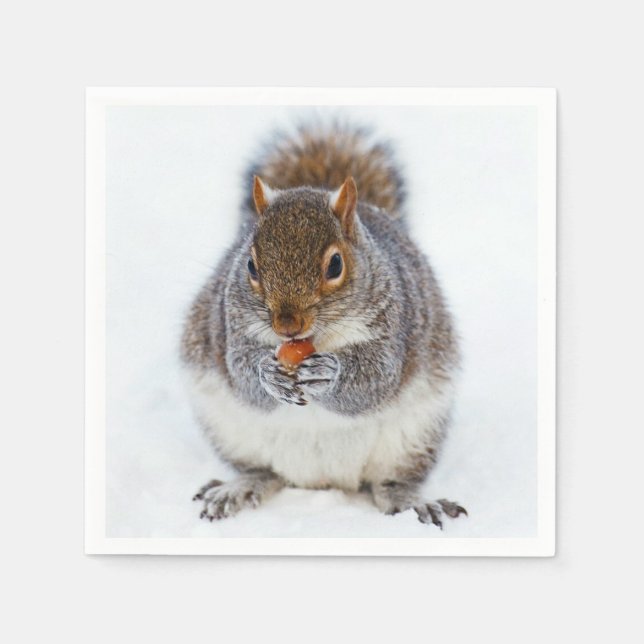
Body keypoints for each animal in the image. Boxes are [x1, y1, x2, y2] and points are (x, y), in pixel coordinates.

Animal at [181, 124, 466, 528]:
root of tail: (322, 480)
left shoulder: (396, 326)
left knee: (391, 483)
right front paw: (268, 374)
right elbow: (241, 374)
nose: (287, 325)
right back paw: (237, 488)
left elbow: (376, 379)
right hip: (229, 430)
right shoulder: (229, 325)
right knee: (263, 471)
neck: (315, 339)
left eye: (335, 265)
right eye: (250, 265)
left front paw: (329, 374)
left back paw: (413, 502)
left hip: (414, 437)